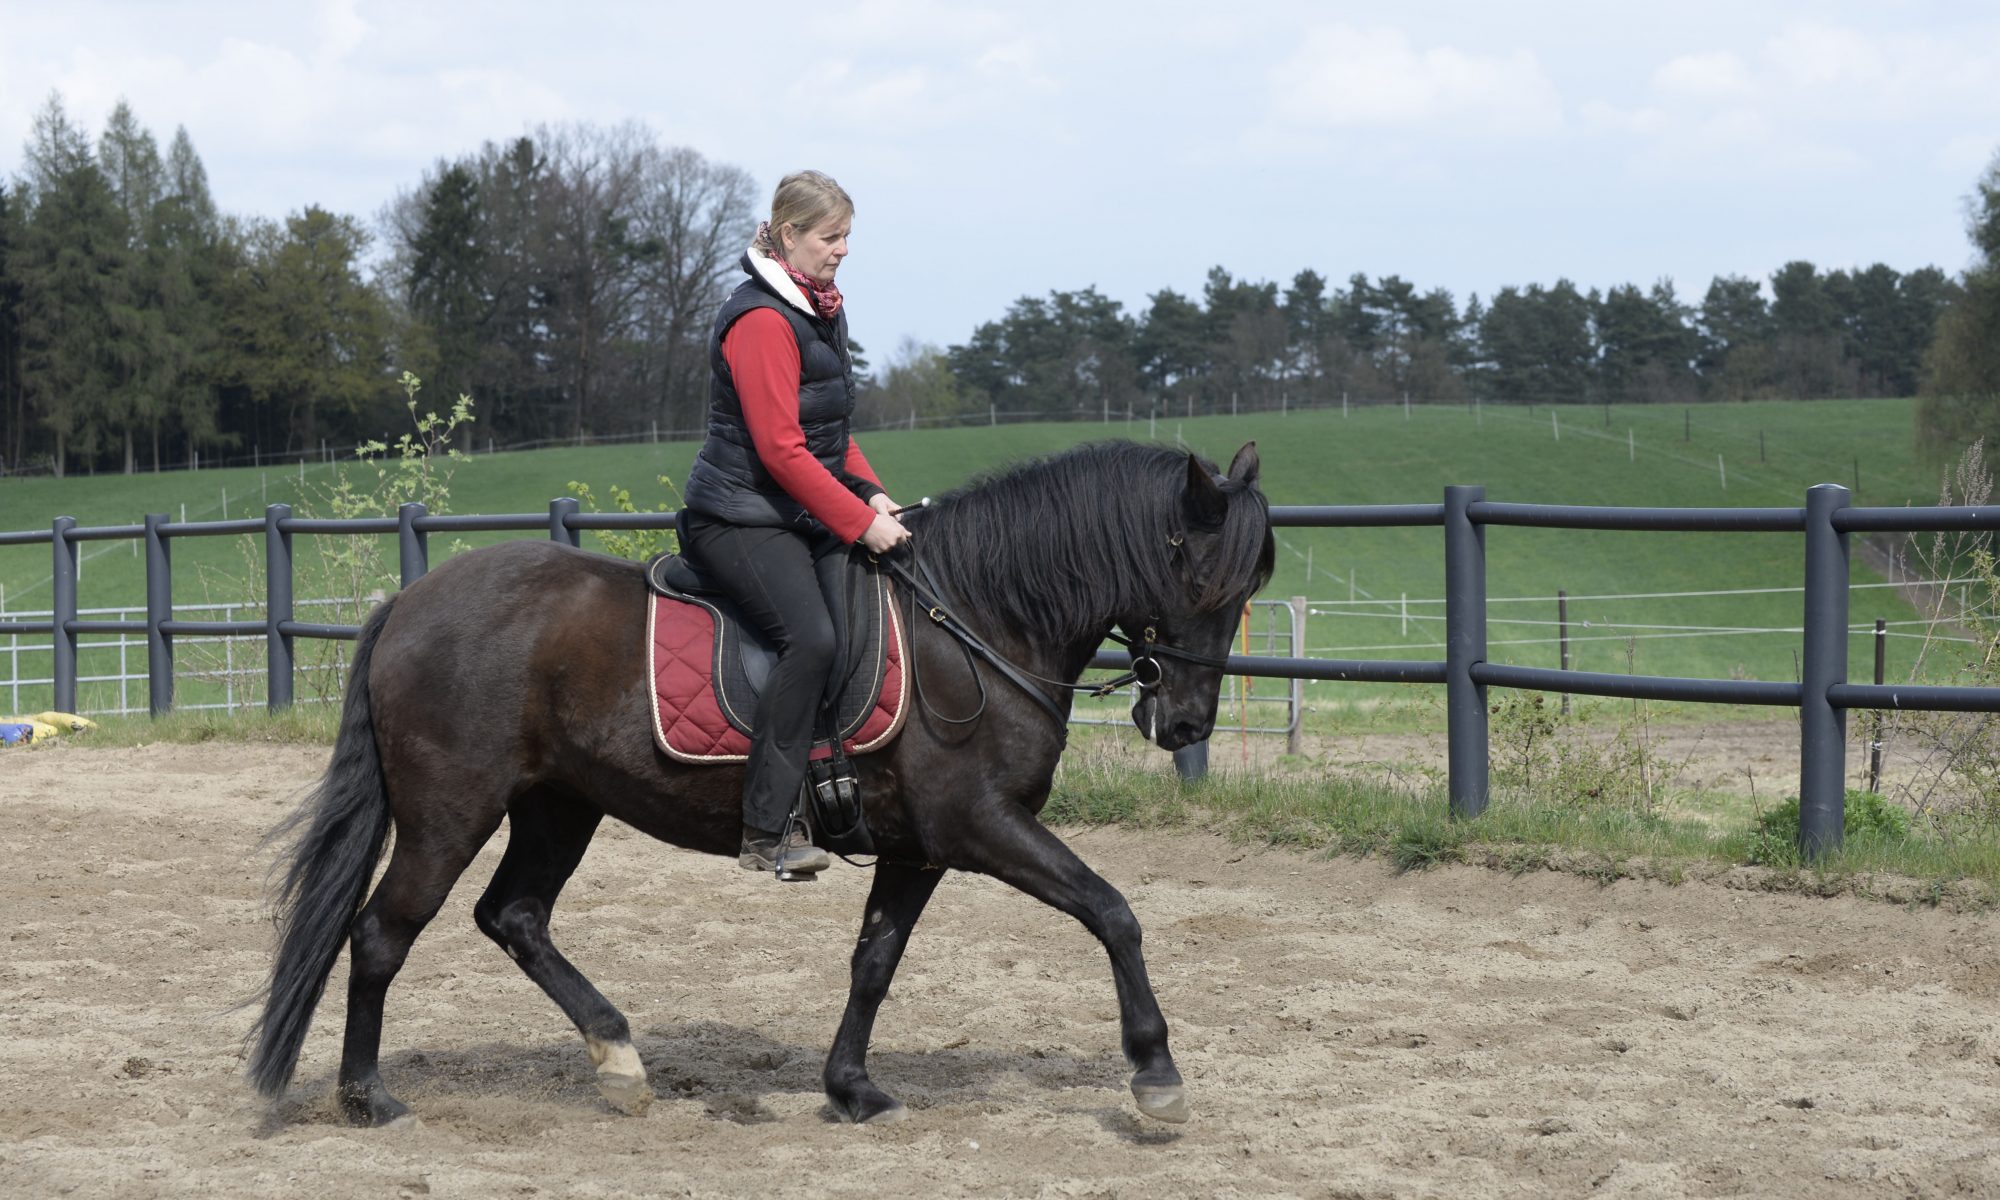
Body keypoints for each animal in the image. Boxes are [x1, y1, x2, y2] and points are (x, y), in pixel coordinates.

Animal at [246, 438, 1264, 1128]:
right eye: (1203, 579)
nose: (1185, 726)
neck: (972, 621)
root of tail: (409, 603)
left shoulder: (917, 847)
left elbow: (874, 962)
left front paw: (853, 1089)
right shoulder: (979, 825)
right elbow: (1113, 911)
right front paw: (1156, 1072)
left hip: (558, 806)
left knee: (514, 917)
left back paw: (618, 1058)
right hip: (449, 813)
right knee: (382, 934)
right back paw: (370, 1098)